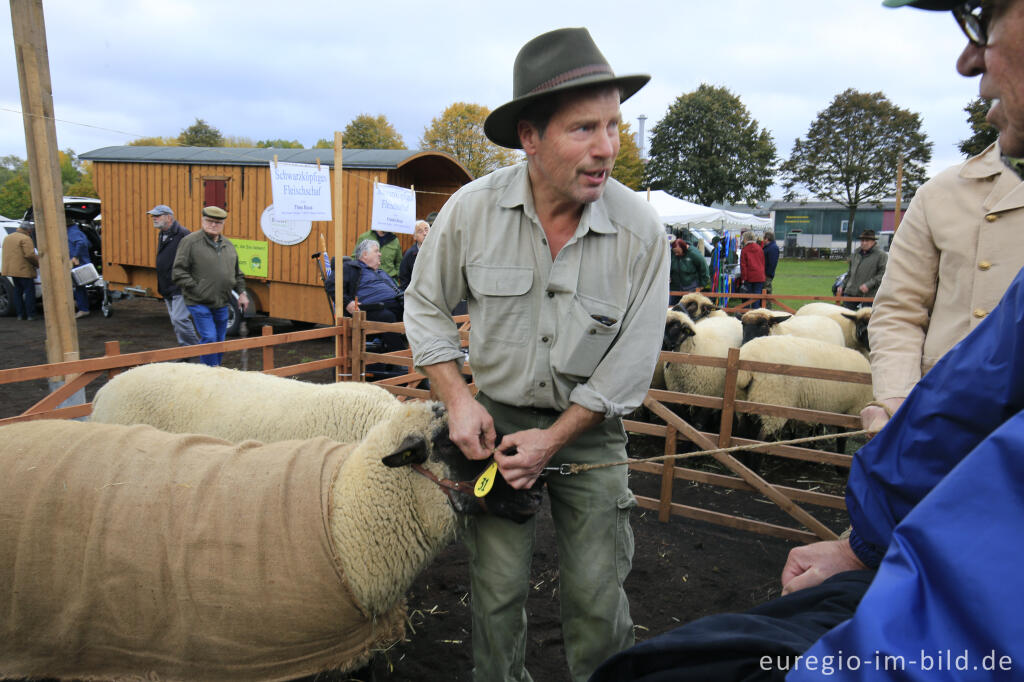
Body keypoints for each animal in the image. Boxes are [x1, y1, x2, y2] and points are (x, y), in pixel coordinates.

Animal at [737, 333, 872, 440]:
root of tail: (747, 358)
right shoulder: (849, 412)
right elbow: (841, 438)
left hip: (746, 401)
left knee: (743, 432)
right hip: (771, 403)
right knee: (761, 438)